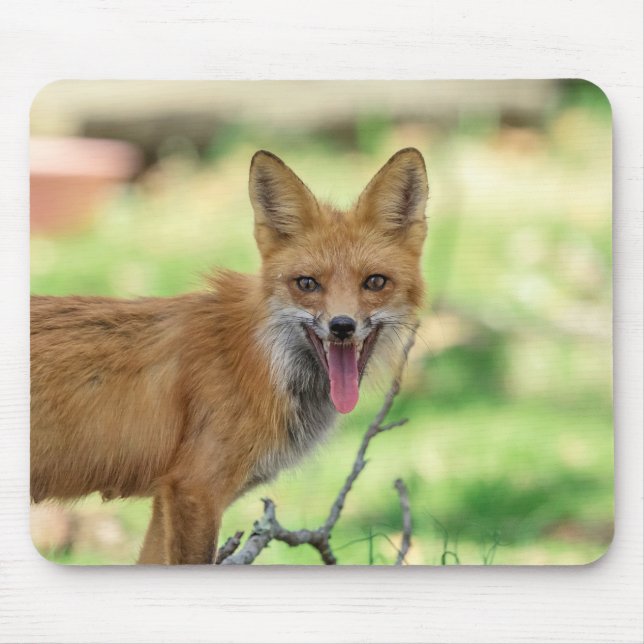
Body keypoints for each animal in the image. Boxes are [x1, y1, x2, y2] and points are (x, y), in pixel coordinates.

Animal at [30, 147, 429, 564]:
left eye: (375, 282)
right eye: (307, 284)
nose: (342, 326)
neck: (262, 361)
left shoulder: (166, 496)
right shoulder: (195, 489)